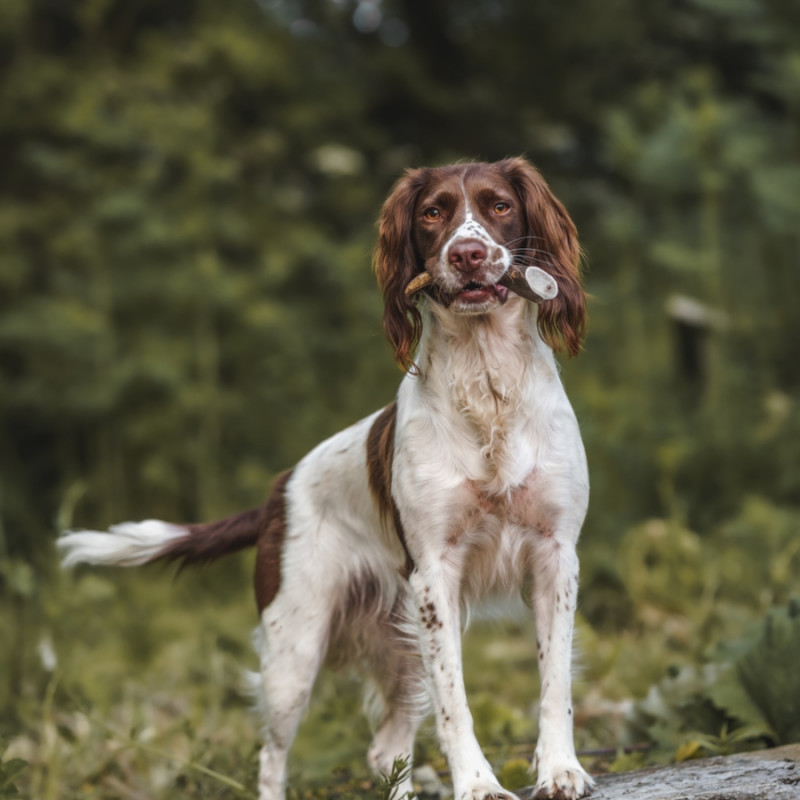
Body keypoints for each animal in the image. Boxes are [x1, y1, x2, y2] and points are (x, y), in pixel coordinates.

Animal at [57, 158, 592, 800]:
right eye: (432, 213)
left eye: (500, 206)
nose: (466, 254)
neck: (488, 385)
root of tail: (277, 494)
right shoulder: (434, 575)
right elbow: (454, 701)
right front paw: (477, 784)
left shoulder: (555, 556)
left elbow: (555, 682)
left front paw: (561, 770)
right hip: (296, 649)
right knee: (271, 756)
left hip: (396, 638)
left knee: (386, 746)